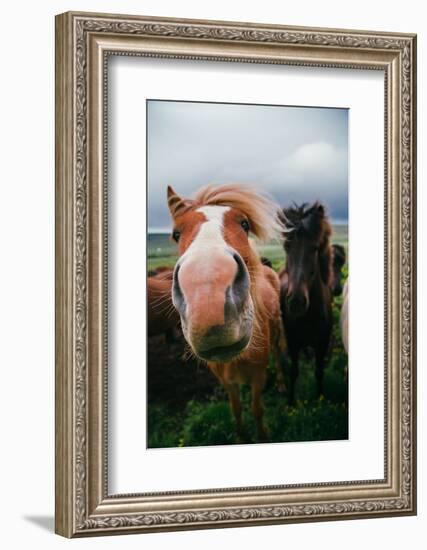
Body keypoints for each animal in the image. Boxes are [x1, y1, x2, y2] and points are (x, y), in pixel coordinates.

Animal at [166, 183, 284, 442]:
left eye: (244, 224)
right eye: (176, 234)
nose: (208, 298)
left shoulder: (258, 375)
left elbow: (257, 408)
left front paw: (262, 437)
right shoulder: (227, 382)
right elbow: (236, 409)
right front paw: (241, 437)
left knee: (281, 355)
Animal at [280, 203, 336, 406]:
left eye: (314, 248)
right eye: (287, 246)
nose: (296, 301)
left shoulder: (323, 343)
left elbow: (319, 372)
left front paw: (319, 398)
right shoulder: (292, 342)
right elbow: (293, 371)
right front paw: (290, 403)